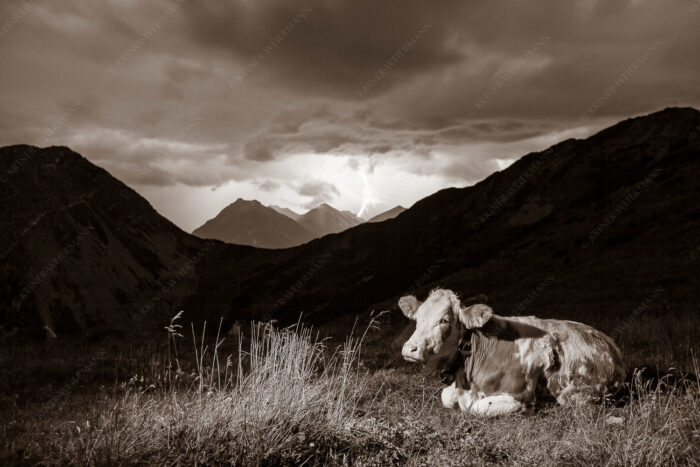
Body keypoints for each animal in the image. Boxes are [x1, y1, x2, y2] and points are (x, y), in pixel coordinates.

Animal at [402, 288, 628, 416]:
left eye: (444, 320)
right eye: (417, 318)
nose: (409, 348)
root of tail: (610, 343)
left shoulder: (519, 395)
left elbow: (478, 408)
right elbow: (445, 396)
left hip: (576, 395)